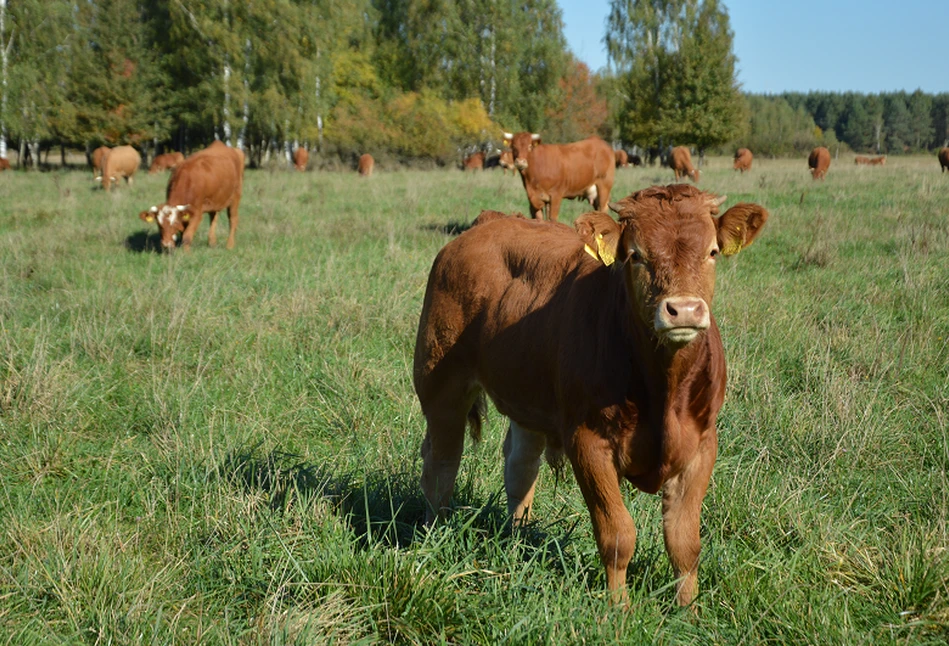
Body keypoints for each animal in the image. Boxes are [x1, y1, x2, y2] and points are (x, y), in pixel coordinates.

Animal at [416, 185, 772, 612]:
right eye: (636, 255)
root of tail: (488, 222)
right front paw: (619, 608)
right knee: (441, 464)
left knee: (520, 467)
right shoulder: (587, 442)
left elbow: (684, 541)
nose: (683, 309)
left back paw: (517, 540)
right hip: (440, 383)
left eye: (713, 251)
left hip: (527, 396)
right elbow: (618, 534)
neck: (663, 390)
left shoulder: (702, 445)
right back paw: (436, 532)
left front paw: (688, 608)